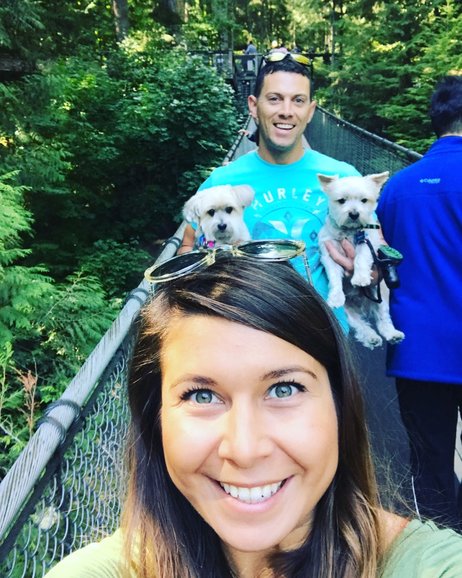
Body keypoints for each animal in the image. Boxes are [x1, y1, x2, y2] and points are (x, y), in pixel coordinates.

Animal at [318, 171, 404, 348]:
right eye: (341, 200)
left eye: (364, 200)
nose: (354, 214)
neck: (350, 232)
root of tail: (362, 304)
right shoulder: (329, 252)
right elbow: (334, 277)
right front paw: (335, 296)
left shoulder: (367, 241)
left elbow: (361, 258)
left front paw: (360, 278)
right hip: (348, 311)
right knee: (360, 325)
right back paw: (371, 337)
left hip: (381, 294)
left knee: (383, 318)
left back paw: (392, 334)